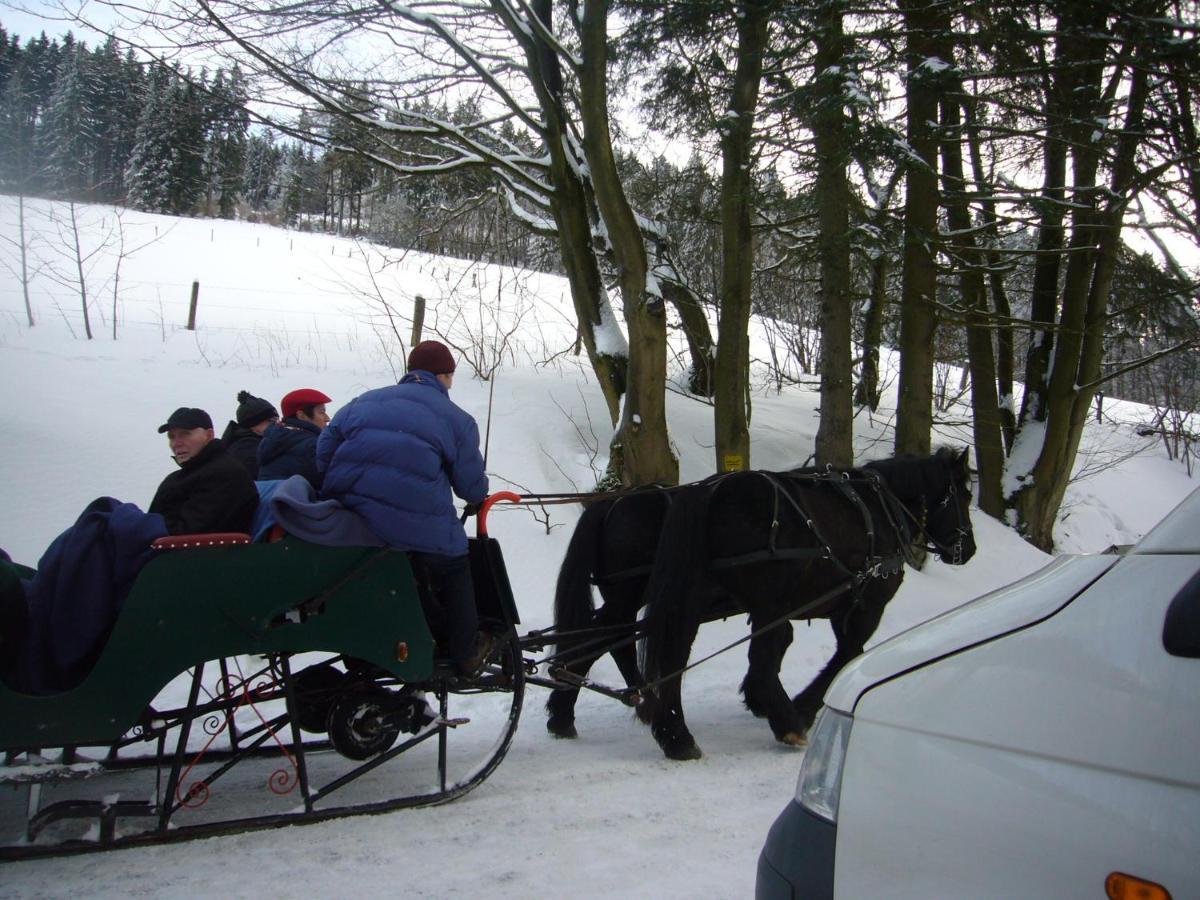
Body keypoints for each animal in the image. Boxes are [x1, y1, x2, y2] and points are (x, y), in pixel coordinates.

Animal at [638, 448, 974, 763]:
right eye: (967, 496)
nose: (969, 549)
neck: (885, 509)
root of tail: (709, 490)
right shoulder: (867, 604)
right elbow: (847, 656)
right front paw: (802, 708)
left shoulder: (839, 607)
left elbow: (820, 649)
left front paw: (765, 701)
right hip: (768, 602)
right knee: (758, 660)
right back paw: (787, 723)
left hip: (698, 598)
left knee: (676, 655)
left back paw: (676, 736)